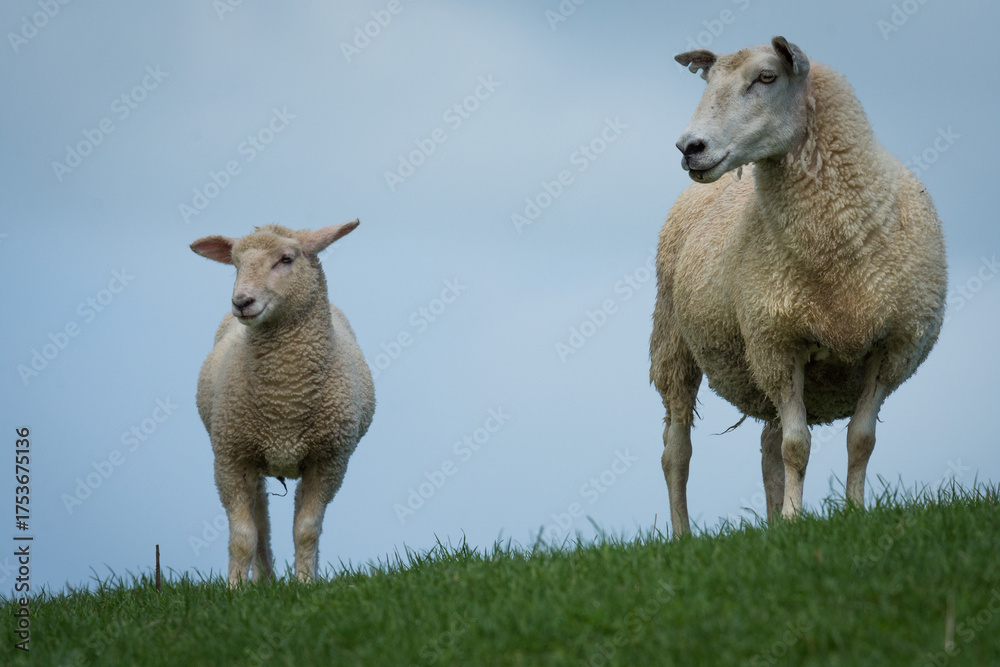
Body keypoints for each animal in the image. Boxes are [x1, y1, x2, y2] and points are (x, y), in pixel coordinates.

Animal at [191, 221, 375, 584]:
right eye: (236, 263)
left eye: (286, 259)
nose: (242, 301)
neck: (284, 399)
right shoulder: (230, 459)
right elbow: (243, 535)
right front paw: (234, 589)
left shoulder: (330, 461)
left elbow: (306, 529)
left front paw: (304, 584)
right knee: (261, 522)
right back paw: (263, 581)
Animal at [649, 37, 947, 536]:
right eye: (708, 82)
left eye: (767, 77)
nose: (690, 147)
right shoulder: (777, 345)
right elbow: (797, 446)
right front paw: (793, 516)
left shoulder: (893, 347)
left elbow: (860, 440)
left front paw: (852, 512)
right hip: (674, 343)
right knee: (677, 451)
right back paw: (683, 535)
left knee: (767, 446)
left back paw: (772, 526)